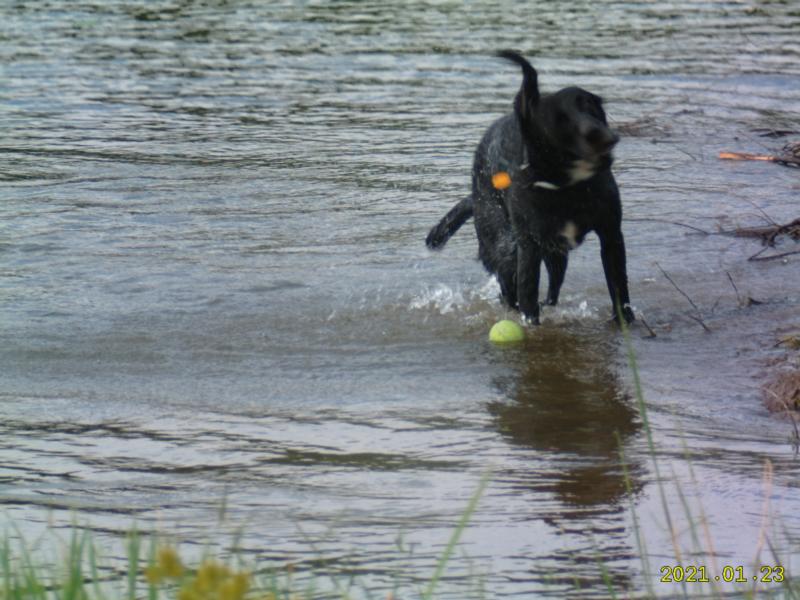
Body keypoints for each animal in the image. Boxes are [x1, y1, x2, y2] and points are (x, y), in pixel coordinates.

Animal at [428, 51, 636, 324]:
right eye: (559, 118)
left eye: (589, 106)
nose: (602, 135)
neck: (567, 185)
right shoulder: (528, 247)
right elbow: (527, 295)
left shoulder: (611, 235)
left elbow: (619, 288)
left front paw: (626, 321)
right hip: (505, 244)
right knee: (508, 287)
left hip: (555, 253)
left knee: (551, 287)